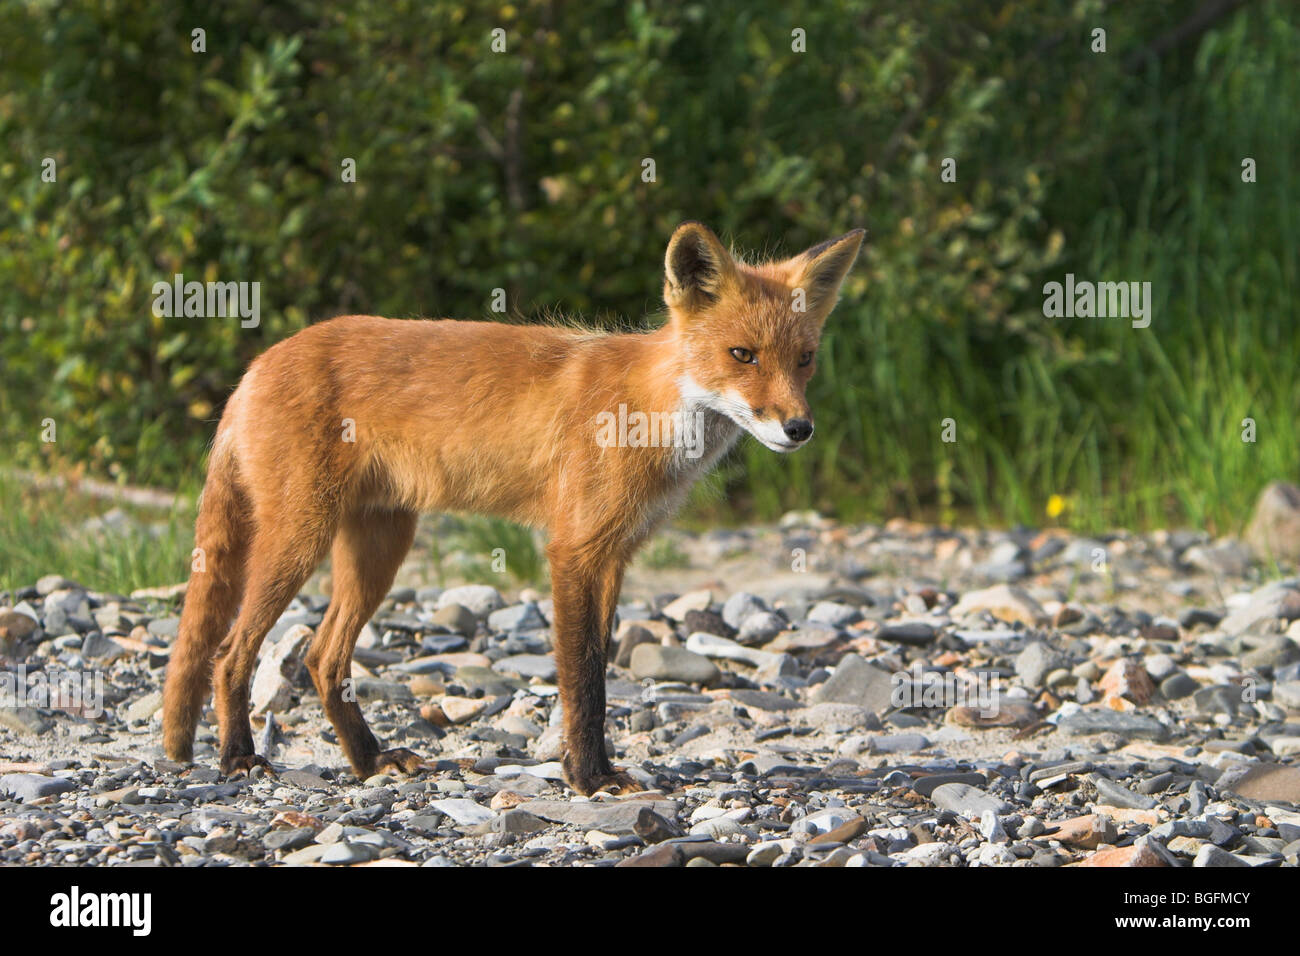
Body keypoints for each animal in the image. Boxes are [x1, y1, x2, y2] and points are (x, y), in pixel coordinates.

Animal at [159, 221, 863, 796]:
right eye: (742, 355)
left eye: (805, 359)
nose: (799, 428)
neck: (649, 411)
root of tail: (256, 365)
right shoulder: (573, 550)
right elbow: (582, 680)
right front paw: (588, 779)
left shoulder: (614, 556)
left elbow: (597, 675)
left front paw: (594, 771)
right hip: (300, 539)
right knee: (230, 652)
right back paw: (238, 759)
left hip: (381, 546)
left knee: (320, 658)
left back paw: (369, 762)